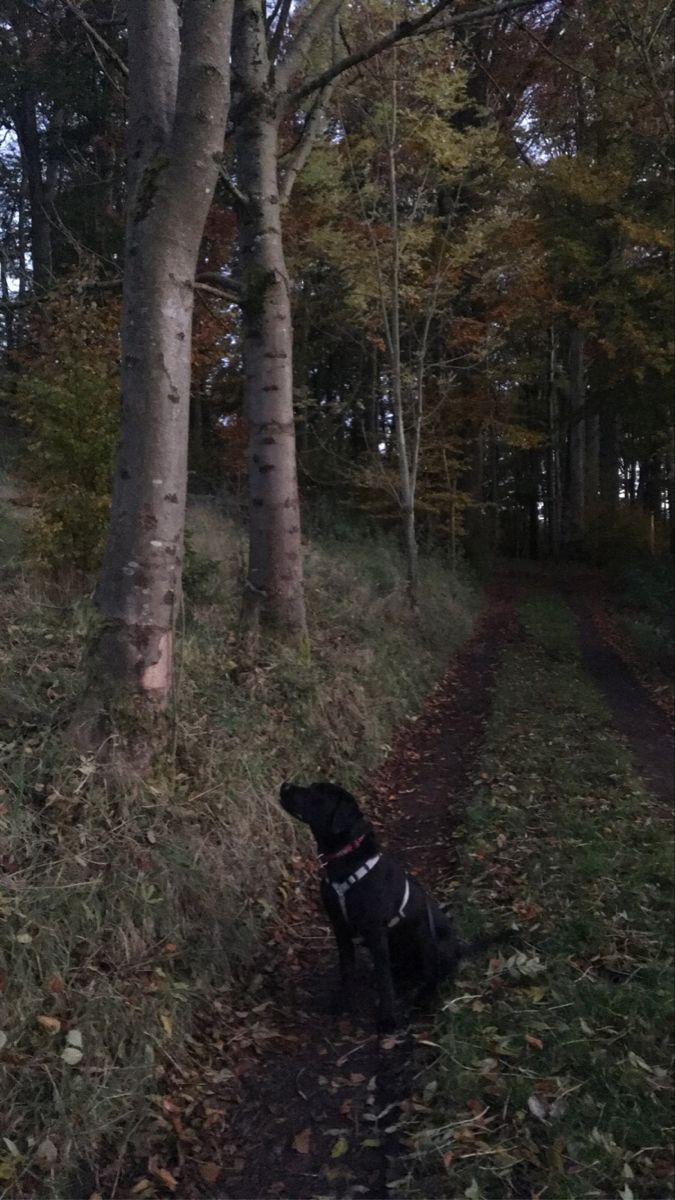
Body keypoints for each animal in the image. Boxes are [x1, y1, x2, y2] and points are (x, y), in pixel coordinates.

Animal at [278, 777, 487, 1032]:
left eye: (317, 794)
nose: (285, 785)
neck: (345, 861)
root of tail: (460, 950)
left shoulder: (376, 932)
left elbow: (384, 981)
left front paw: (386, 1019)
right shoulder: (340, 928)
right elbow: (347, 970)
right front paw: (344, 1003)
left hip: (432, 942)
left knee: (433, 976)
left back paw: (423, 998)